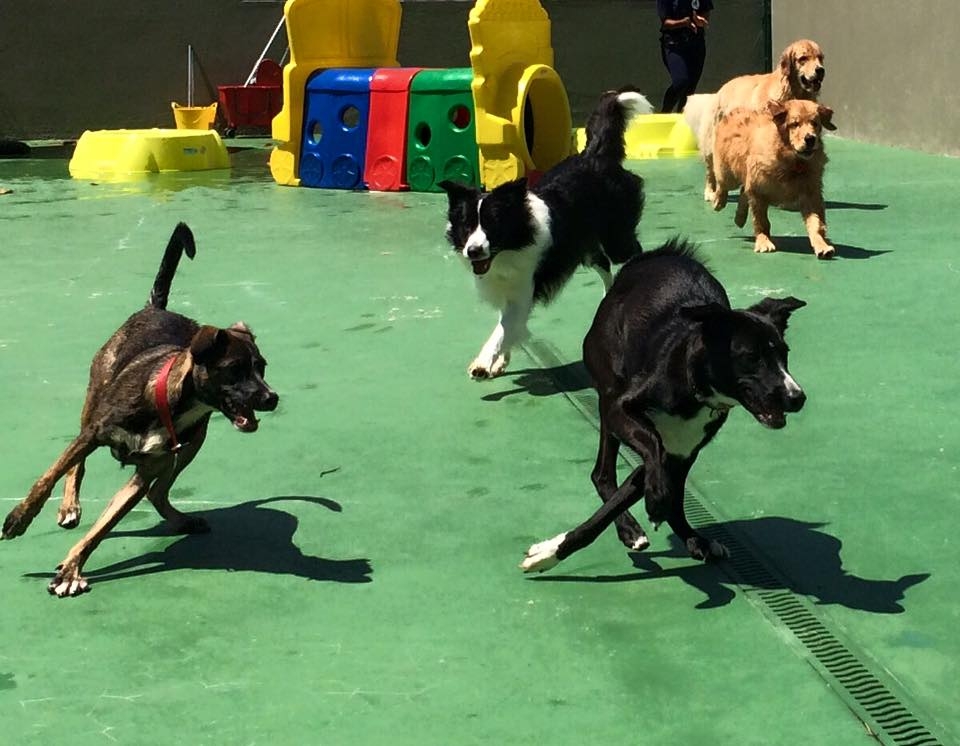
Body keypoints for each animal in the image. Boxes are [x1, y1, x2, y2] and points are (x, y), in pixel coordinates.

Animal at [1, 224, 278, 596]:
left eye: (261, 367)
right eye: (235, 369)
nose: (271, 398)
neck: (168, 402)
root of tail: (155, 308)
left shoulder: (147, 471)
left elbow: (104, 526)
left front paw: (72, 568)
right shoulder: (95, 432)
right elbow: (47, 477)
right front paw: (19, 518)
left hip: (193, 442)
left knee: (159, 493)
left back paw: (180, 518)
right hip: (94, 398)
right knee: (76, 465)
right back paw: (69, 504)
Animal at [440, 89, 652, 378]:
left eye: (493, 225)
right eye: (466, 225)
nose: (472, 251)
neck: (512, 245)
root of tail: (594, 155)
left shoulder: (524, 289)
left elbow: (502, 329)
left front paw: (483, 363)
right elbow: (508, 327)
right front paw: (500, 361)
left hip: (616, 236)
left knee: (632, 253)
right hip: (586, 246)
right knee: (603, 263)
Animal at [520, 238, 808, 568]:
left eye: (784, 354)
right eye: (751, 357)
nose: (797, 397)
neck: (695, 388)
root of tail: (656, 256)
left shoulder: (680, 451)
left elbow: (663, 487)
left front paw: (682, 526)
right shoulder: (623, 412)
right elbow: (650, 448)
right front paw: (549, 553)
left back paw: (689, 537)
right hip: (608, 393)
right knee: (602, 474)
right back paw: (630, 527)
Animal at [688, 39, 828, 202]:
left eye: (820, 58)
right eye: (803, 58)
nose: (820, 70)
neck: (792, 91)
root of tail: (720, 91)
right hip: (712, 143)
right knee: (710, 169)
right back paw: (710, 191)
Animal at [708, 96, 836, 258]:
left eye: (815, 123)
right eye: (794, 124)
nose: (810, 139)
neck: (792, 162)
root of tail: (736, 110)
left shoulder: (811, 195)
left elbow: (816, 224)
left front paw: (821, 245)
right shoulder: (758, 191)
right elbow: (761, 221)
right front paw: (764, 241)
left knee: (743, 191)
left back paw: (740, 217)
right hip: (728, 174)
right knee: (723, 185)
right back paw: (718, 201)